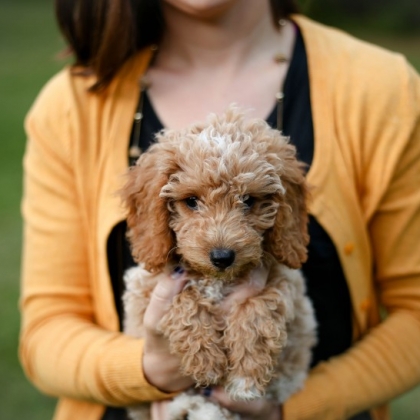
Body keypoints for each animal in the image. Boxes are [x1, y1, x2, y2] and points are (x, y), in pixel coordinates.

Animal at [120, 107, 316, 420]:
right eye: (191, 201)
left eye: (248, 200)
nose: (222, 257)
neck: (217, 280)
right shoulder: (148, 289)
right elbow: (184, 301)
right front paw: (206, 361)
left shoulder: (283, 280)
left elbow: (259, 308)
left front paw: (246, 377)